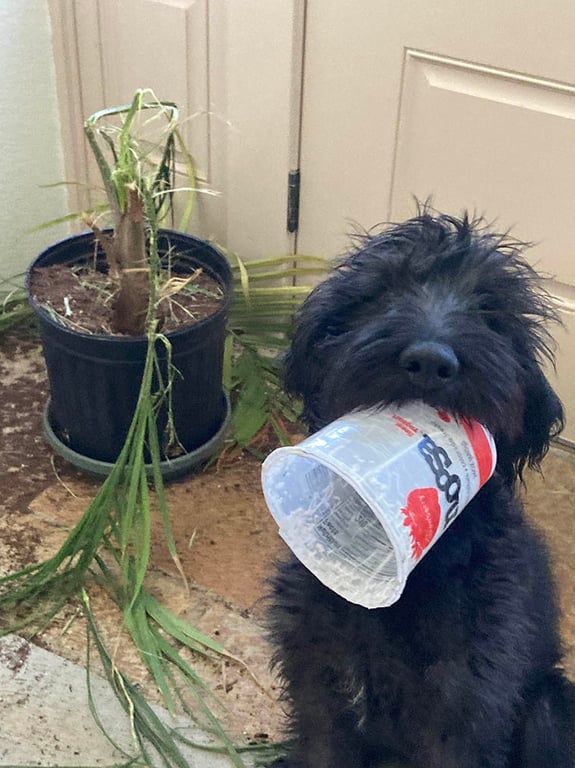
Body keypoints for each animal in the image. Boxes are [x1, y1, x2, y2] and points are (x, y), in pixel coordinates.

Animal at [270, 210, 575, 768]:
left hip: (547, 709)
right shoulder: (319, 686)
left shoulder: (461, 711)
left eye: (489, 309)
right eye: (385, 290)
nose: (431, 360)